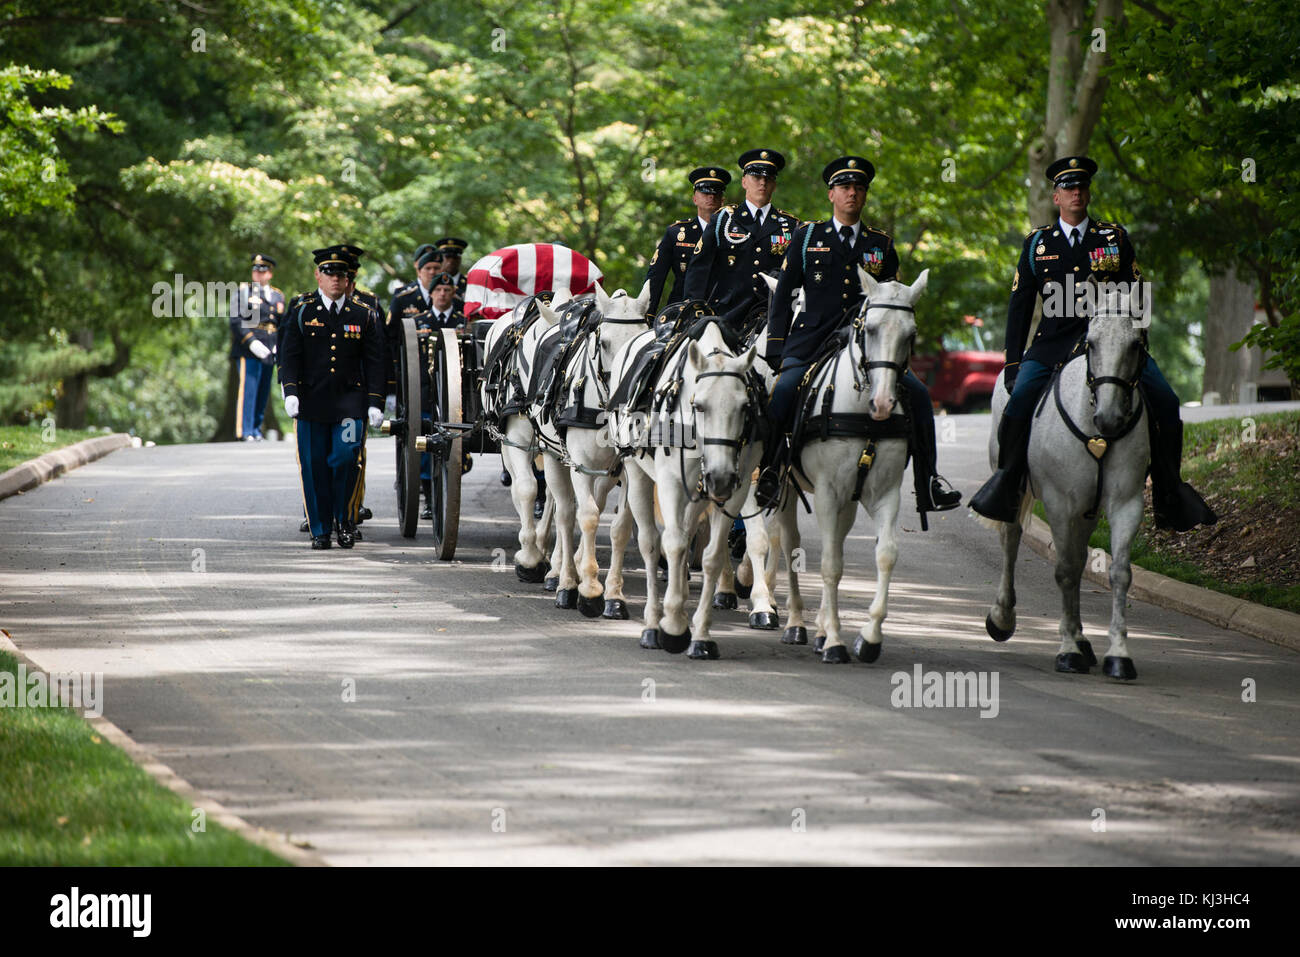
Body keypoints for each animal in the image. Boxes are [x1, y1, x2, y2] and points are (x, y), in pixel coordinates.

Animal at [764, 269, 930, 665]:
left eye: (911, 335)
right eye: (869, 329)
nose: (883, 404)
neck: (861, 415)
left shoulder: (883, 493)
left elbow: (885, 555)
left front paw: (867, 637)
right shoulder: (827, 493)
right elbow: (829, 563)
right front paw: (836, 642)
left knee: (833, 540)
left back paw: (820, 629)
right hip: (787, 487)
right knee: (789, 542)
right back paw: (796, 623)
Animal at [982, 291, 1149, 681]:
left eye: (1135, 344)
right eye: (1091, 342)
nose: (1109, 418)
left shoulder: (1126, 503)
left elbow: (1119, 573)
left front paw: (1118, 654)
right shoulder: (1059, 504)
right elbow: (1066, 571)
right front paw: (1068, 649)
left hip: (1088, 511)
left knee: (1080, 552)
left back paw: (1084, 640)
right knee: (1012, 538)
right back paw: (1003, 617)